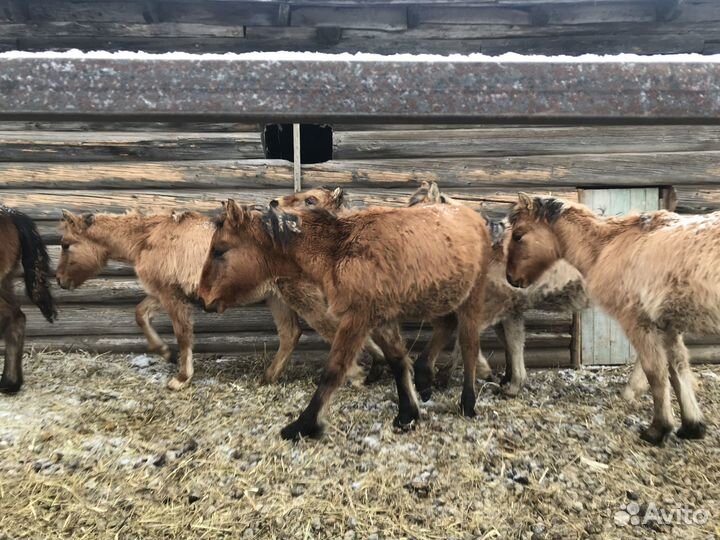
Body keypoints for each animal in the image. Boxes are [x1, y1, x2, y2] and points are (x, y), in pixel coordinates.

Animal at [198, 199, 491, 440]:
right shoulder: (381, 319)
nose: (202, 298)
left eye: (220, 250)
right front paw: (407, 414)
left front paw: (303, 426)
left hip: (472, 298)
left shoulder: (357, 317)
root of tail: (474, 217)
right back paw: (425, 378)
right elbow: (397, 361)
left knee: (469, 345)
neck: (338, 248)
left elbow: (333, 370)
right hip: (443, 297)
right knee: (445, 327)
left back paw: (467, 403)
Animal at [505, 193, 709, 445]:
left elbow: (656, 370)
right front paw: (692, 425)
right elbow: (676, 365)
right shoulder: (665, 323)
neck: (608, 246)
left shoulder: (639, 320)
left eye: (518, 235)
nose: (510, 278)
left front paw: (657, 429)